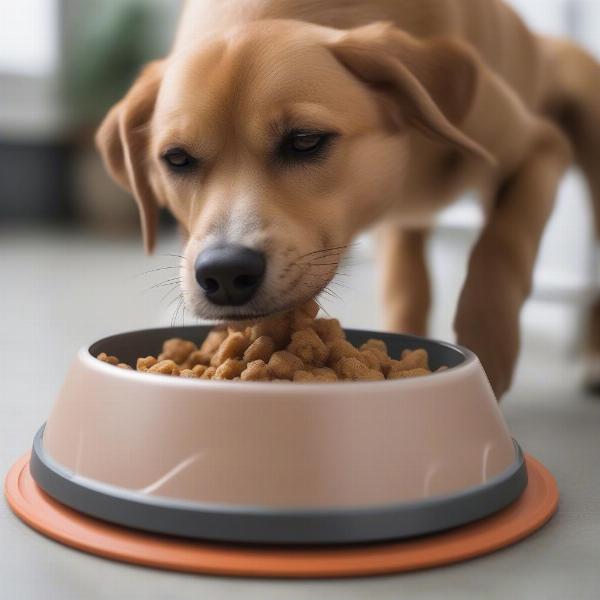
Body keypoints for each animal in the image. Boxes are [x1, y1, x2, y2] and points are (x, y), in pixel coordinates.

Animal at [96, 0, 600, 398]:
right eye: (176, 158)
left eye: (305, 141)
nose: (223, 273)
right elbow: (411, 281)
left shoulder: (541, 146)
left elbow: (502, 245)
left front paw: (487, 344)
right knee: (410, 281)